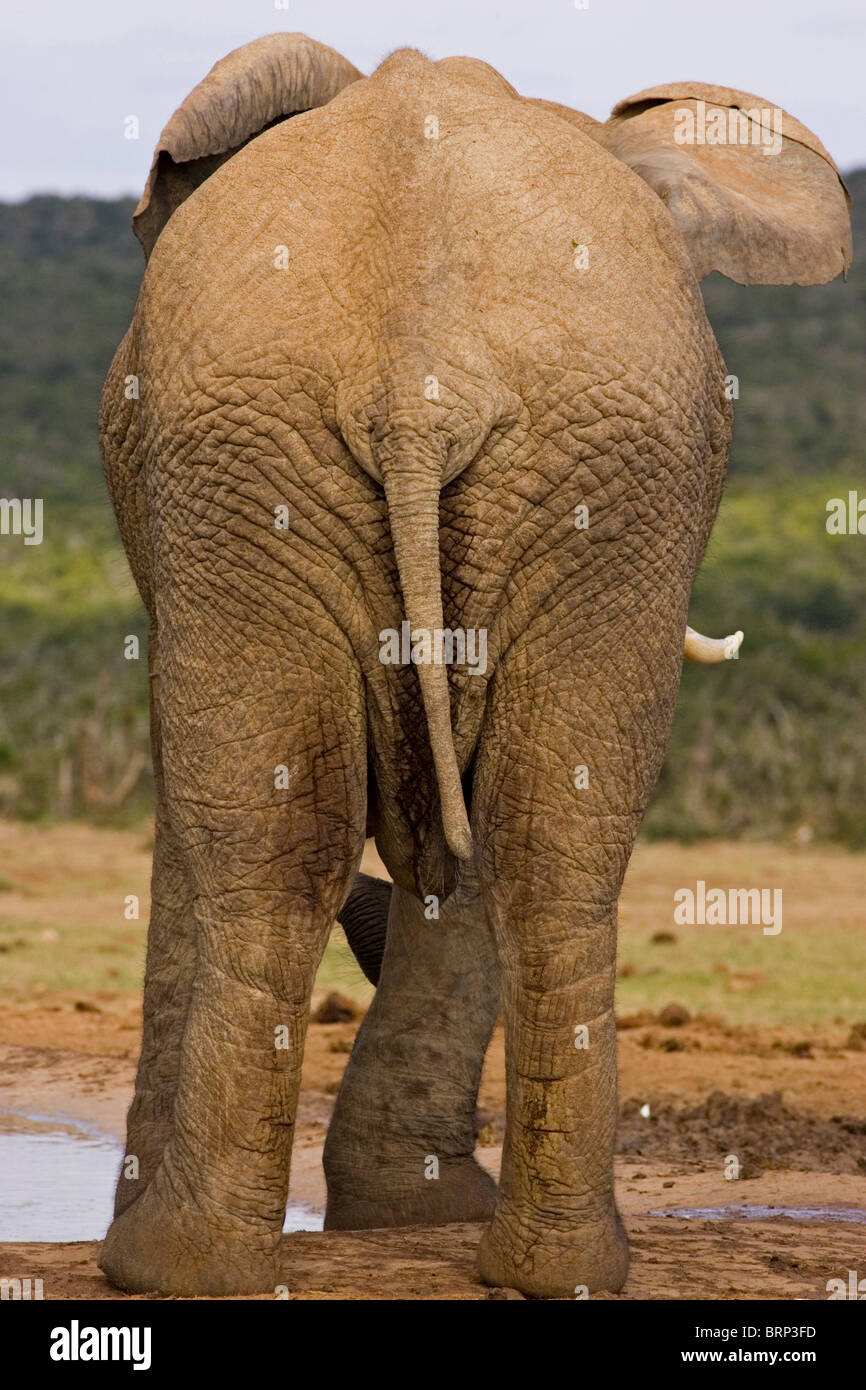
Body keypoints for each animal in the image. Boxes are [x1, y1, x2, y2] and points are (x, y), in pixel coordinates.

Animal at [97, 32, 851, 1297]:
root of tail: (420, 373)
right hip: (356, 460)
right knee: (523, 832)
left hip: (528, 460)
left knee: (339, 836)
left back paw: (177, 1265)